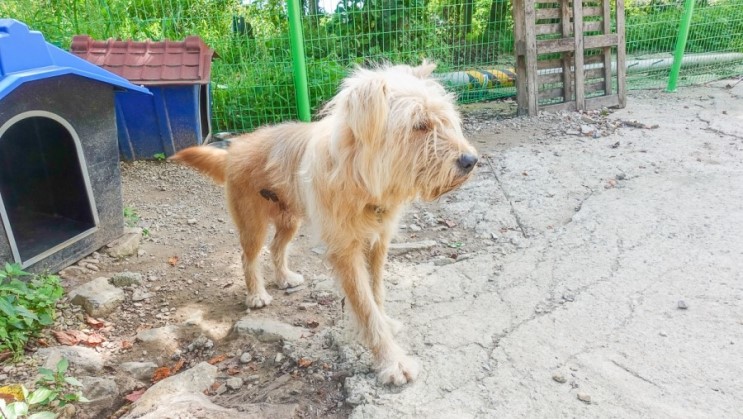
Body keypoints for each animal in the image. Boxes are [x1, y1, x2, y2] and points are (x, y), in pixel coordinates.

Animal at [170, 60, 476, 386]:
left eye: (445, 120)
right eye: (420, 125)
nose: (471, 161)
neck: (361, 179)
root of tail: (235, 148)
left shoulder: (378, 244)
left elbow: (377, 293)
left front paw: (385, 323)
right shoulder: (345, 253)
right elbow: (365, 306)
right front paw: (392, 361)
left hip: (290, 219)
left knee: (277, 247)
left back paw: (284, 277)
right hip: (253, 224)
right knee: (248, 256)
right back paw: (256, 295)